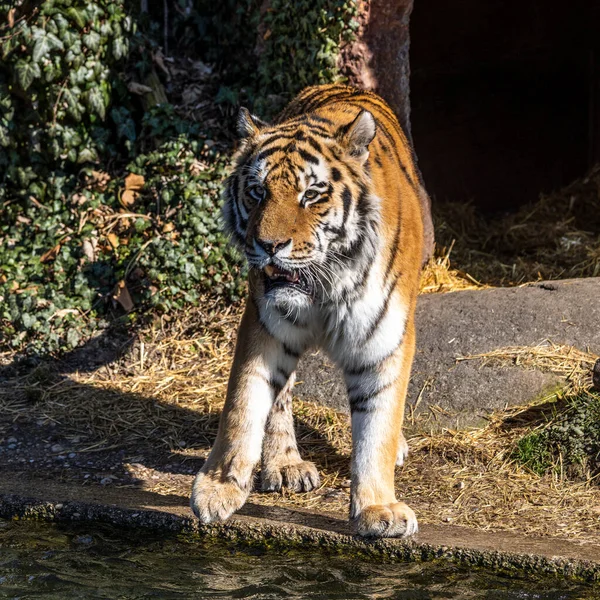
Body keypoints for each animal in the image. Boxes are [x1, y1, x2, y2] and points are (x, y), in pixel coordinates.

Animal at [190, 82, 434, 536]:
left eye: (312, 195)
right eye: (258, 192)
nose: (269, 245)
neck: (325, 286)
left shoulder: (384, 339)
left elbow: (378, 422)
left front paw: (378, 508)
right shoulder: (264, 325)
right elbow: (244, 404)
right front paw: (217, 489)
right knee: (281, 398)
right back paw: (286, 465)